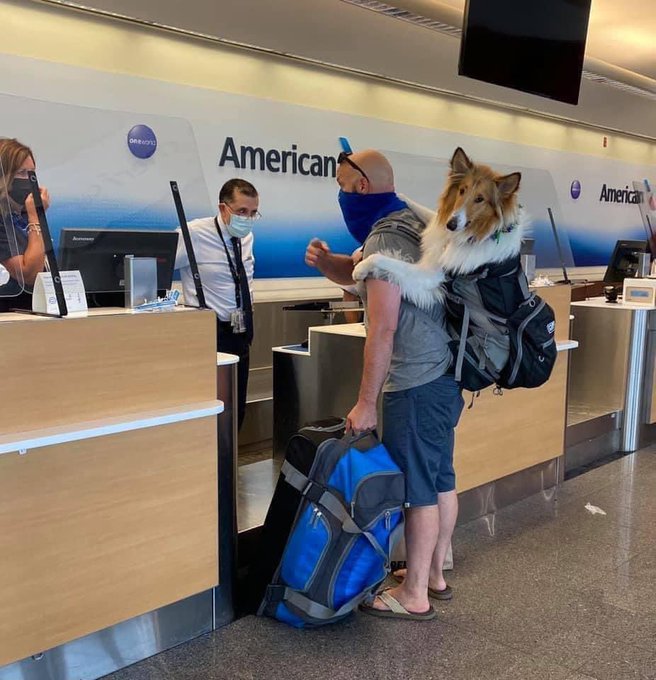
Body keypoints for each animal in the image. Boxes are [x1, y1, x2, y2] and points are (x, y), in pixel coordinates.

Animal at [354, 150, 528, 310]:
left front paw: (360, 269)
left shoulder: (430, 273)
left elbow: (381, 258)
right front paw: (399, 196)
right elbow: (426, 211)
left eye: (480, 199)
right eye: (462, 190)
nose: (451, 225)